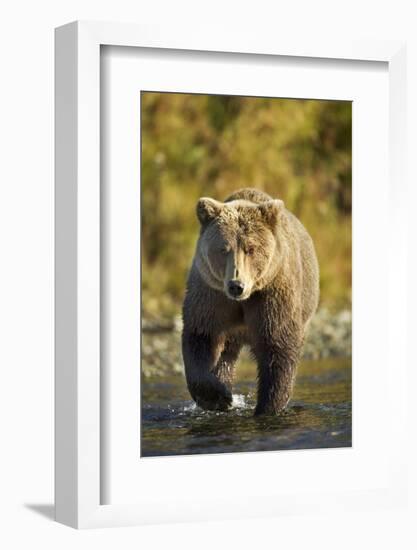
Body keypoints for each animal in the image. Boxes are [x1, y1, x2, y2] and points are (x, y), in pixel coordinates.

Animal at [180, 188, 316, 416]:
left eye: (251, 248)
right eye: (223, 249)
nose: (236, 285)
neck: (243, 300)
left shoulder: (271, 295)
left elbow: (278, 345)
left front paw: (267, 407)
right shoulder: (211, 294)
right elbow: (201, 336)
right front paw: (218, 397)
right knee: (225, 355)